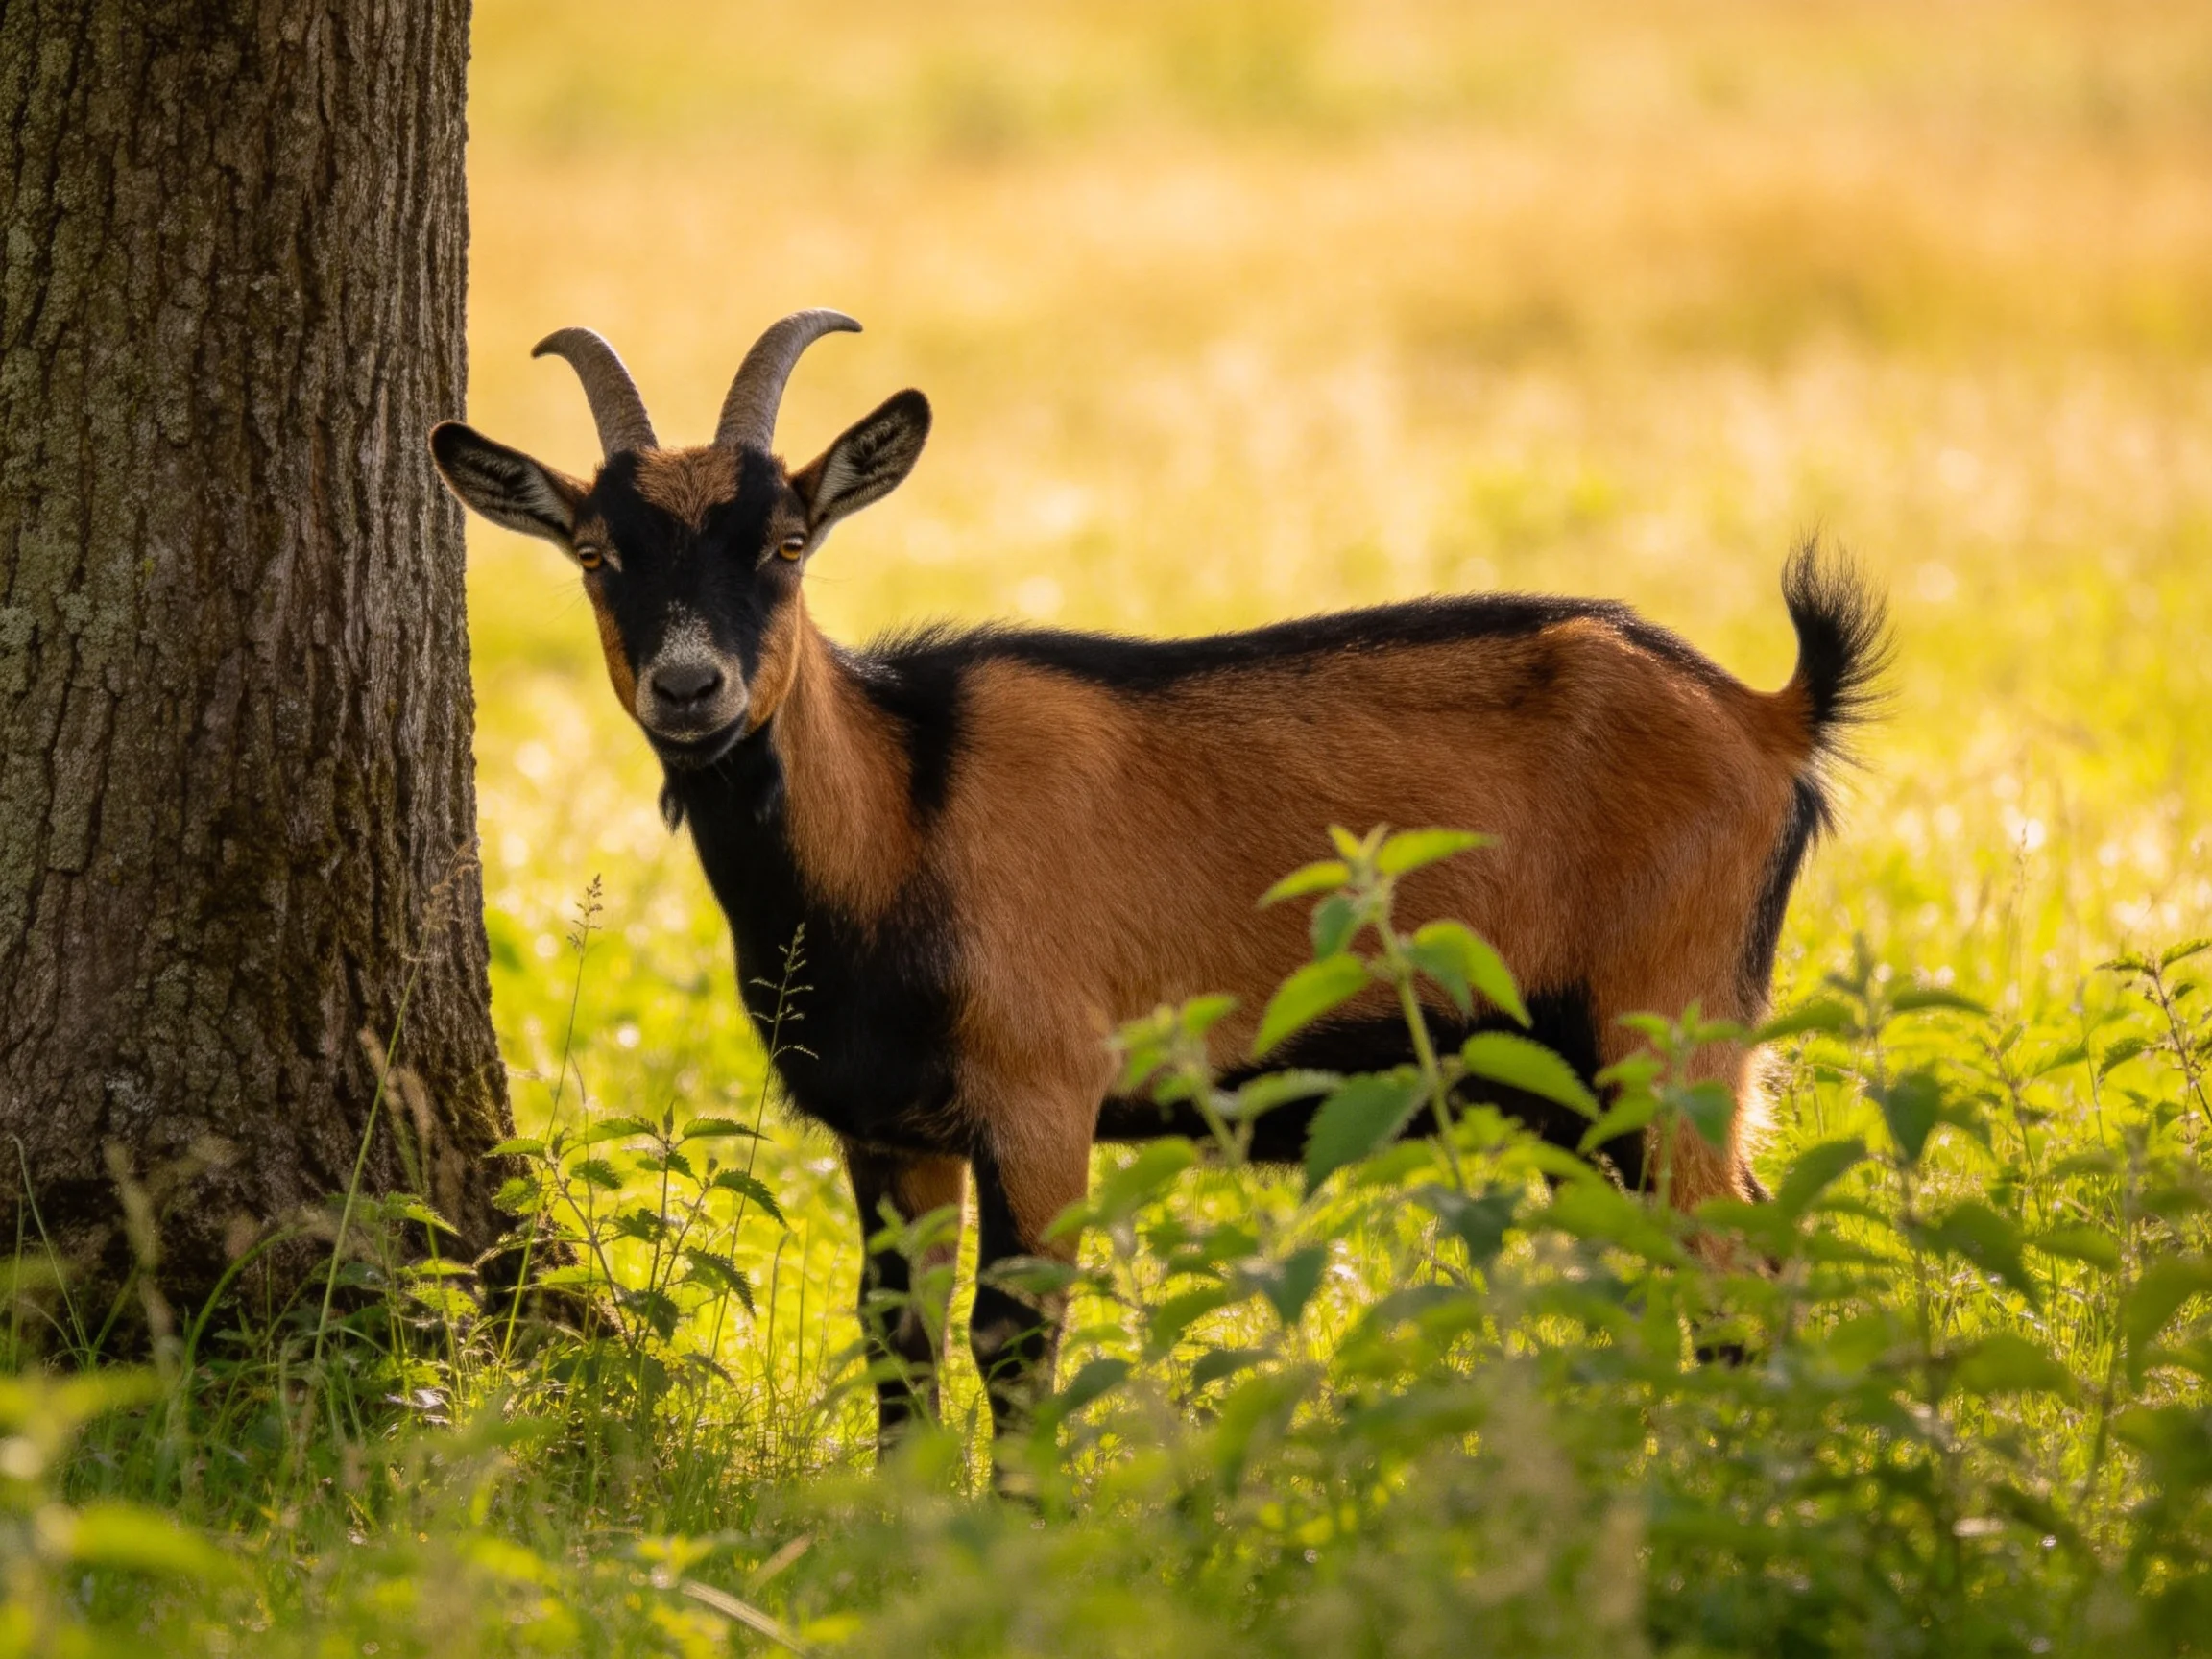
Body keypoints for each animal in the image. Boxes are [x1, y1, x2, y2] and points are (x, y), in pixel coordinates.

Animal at [431, 310, 1888, 1460]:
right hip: (1570, 1087)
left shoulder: (1042, 1090)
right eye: (598, 554)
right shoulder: (888, 1124)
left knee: (1735, 1256)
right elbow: (896, 1339)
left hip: (1668, 1028)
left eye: (786, 542)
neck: (900, 811)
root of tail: (1768, 715)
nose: (692, 690)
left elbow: (1012, 1338)